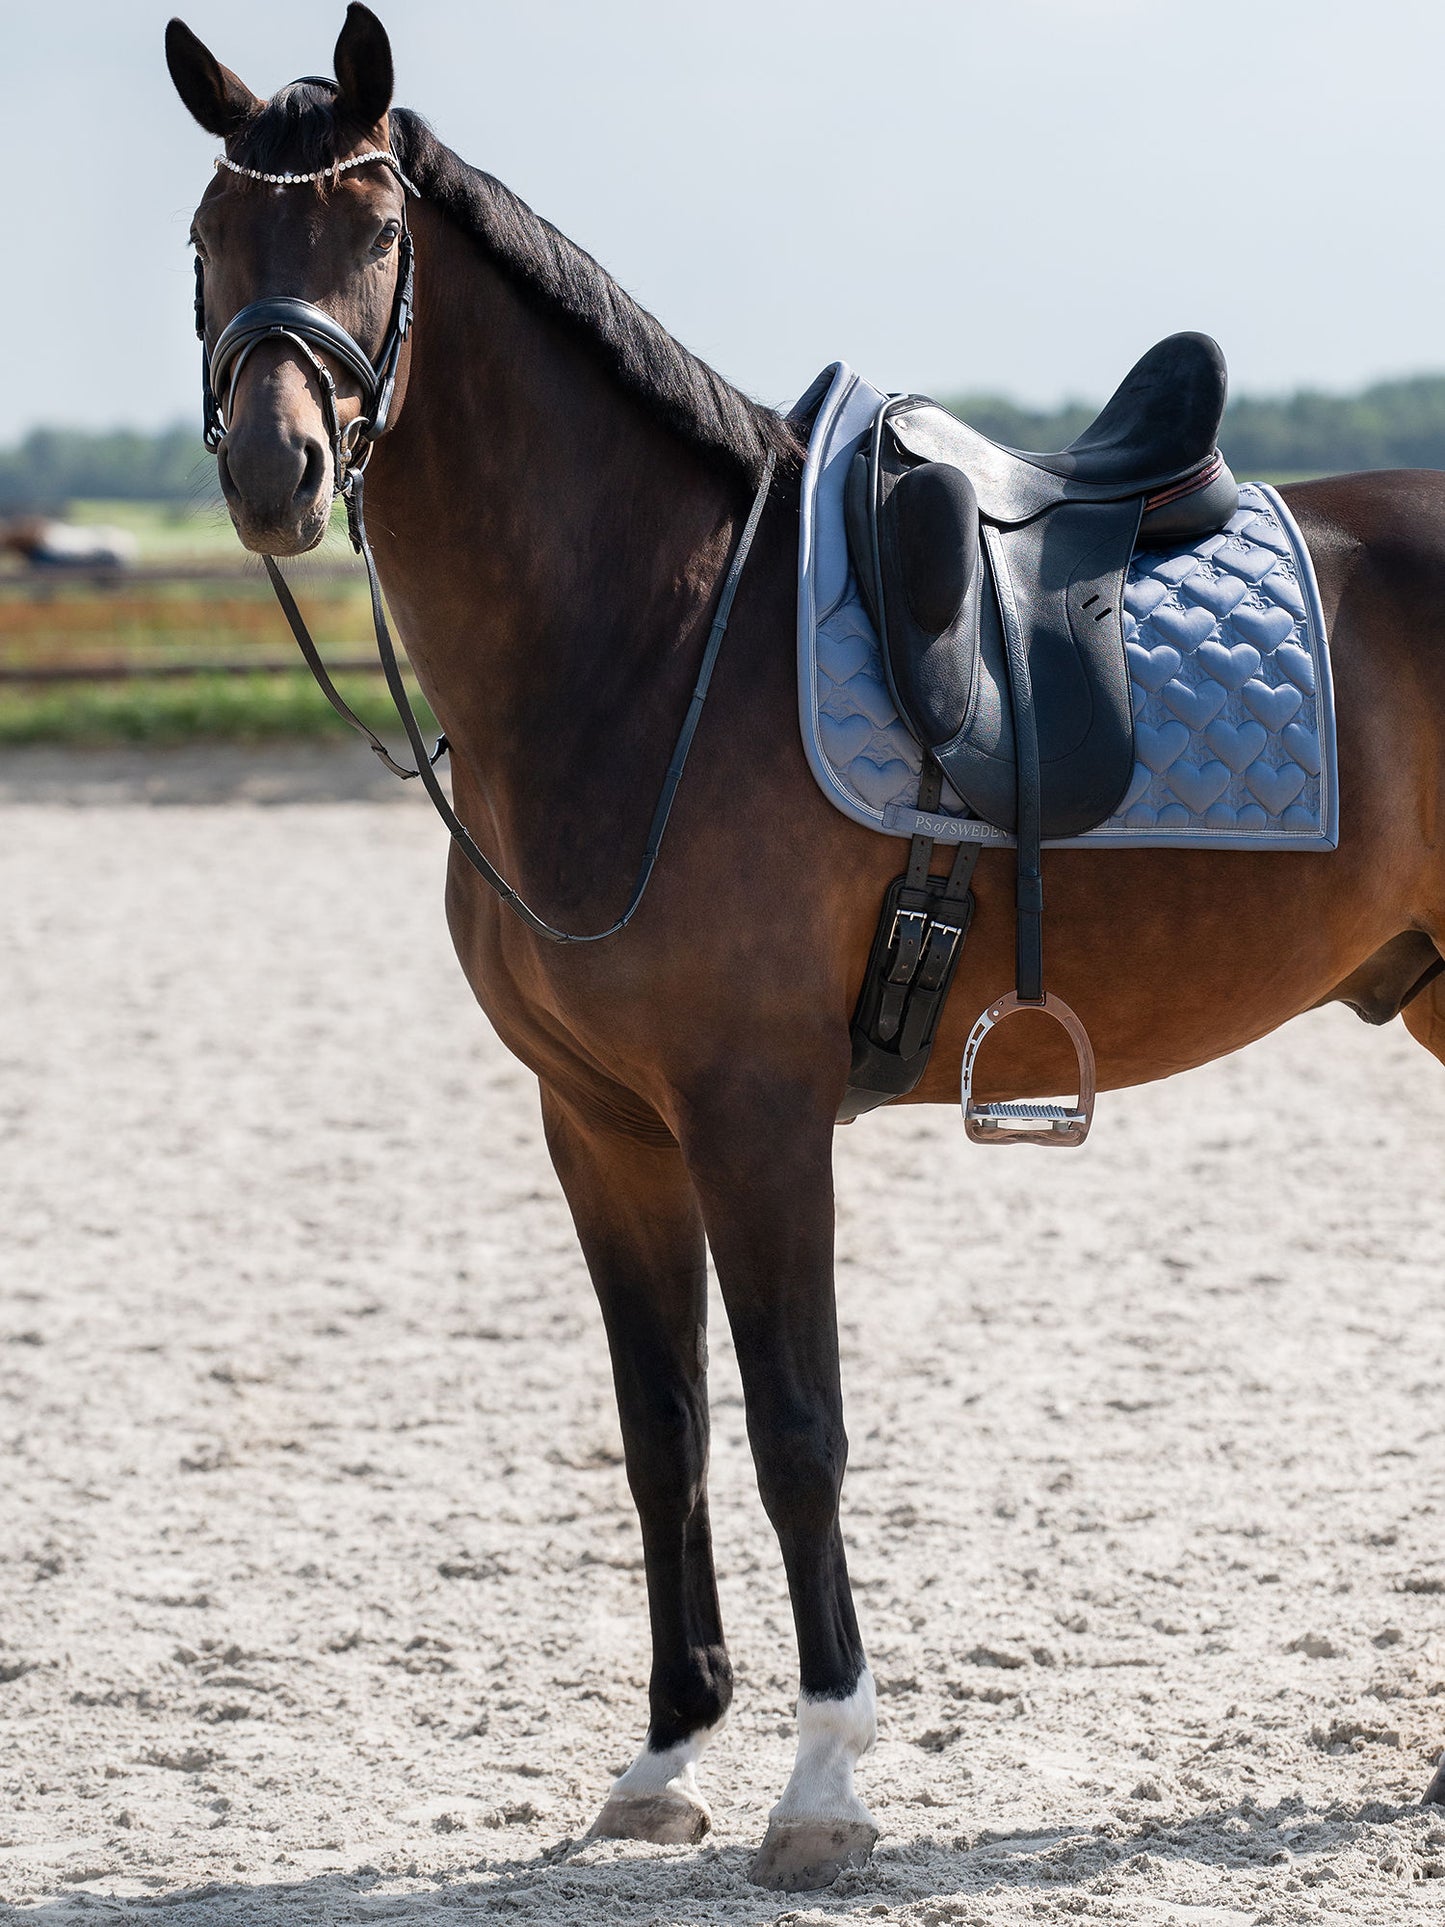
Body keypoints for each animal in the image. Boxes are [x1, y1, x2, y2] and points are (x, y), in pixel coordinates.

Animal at [163, 3, 1445, 1896]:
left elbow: (796, 1430)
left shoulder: (753, 1112)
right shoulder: (601, 1124)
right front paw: (662, 1755)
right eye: (208, 236)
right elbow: (664, 1431)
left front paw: (825, 1781)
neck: (645, 646)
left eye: (376, 229)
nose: (274, 473)